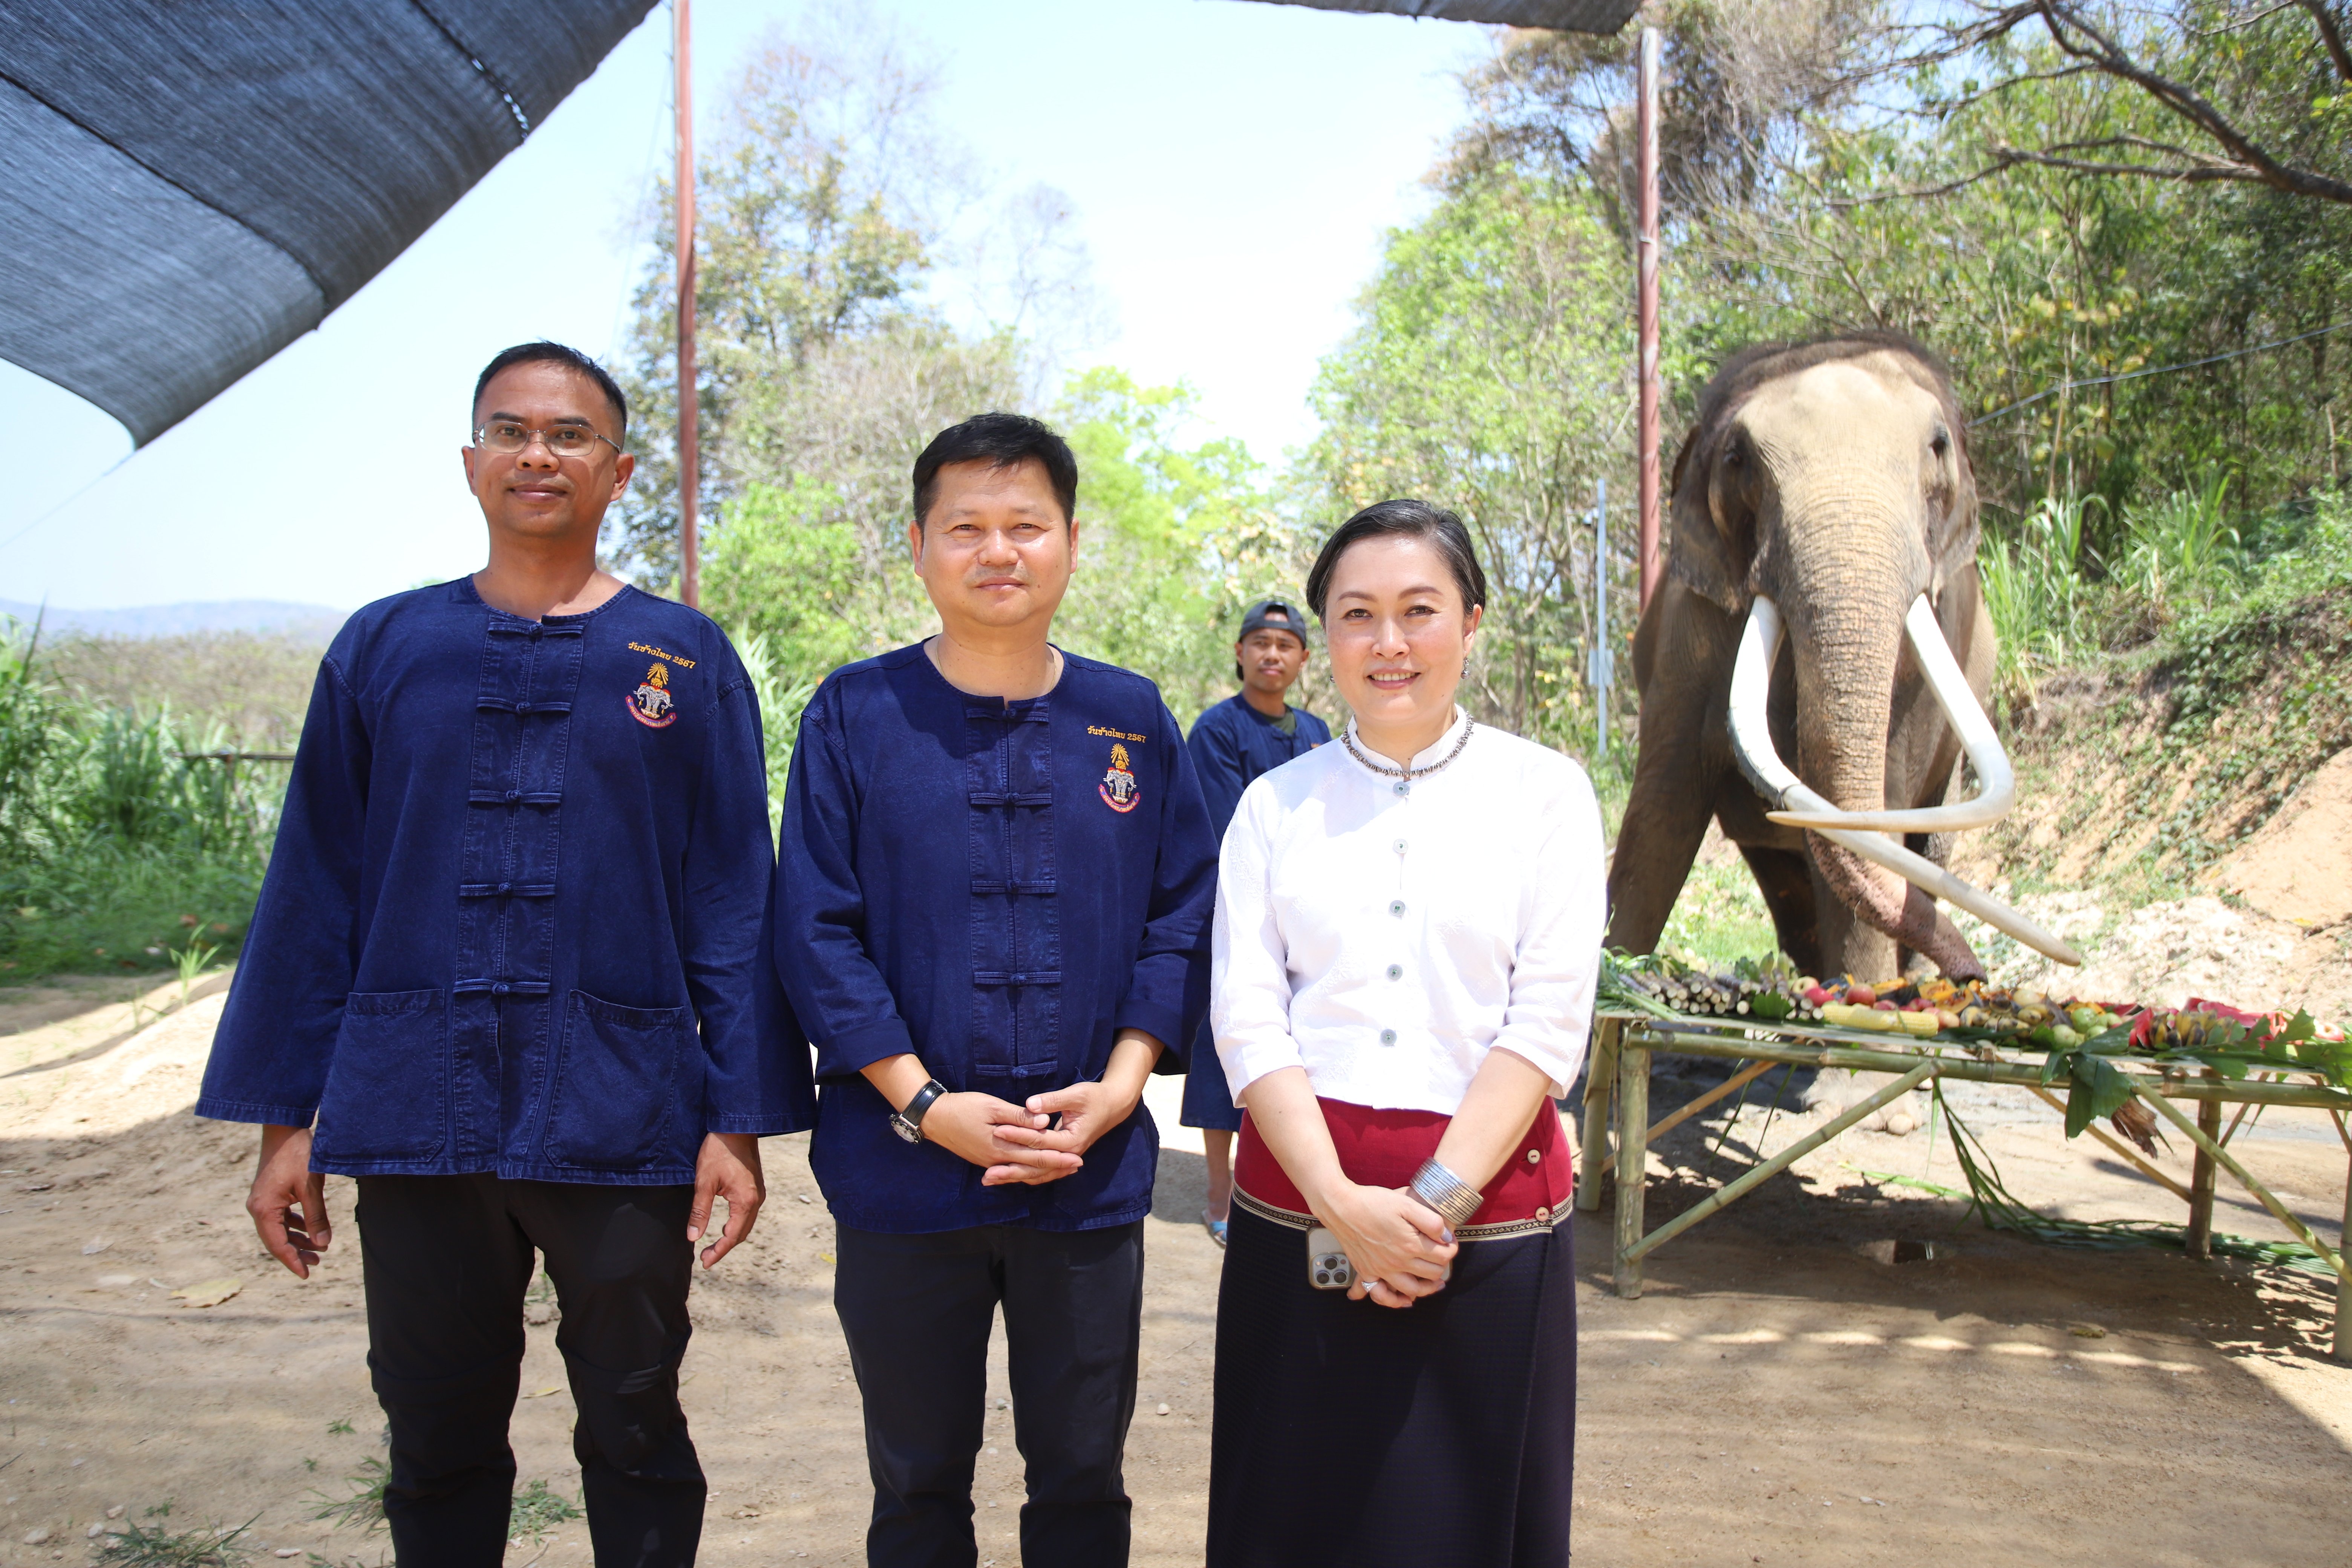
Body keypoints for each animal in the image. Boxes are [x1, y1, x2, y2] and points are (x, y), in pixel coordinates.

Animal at [1609, 336, 2089, 987]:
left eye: (1939, 446)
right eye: (1737, 459)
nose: (1977, 977)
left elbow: (1869, 815)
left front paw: (1867, 987)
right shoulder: (1686, 635)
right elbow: (1662, 814)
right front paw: (1611, 967)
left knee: (1923, 849)